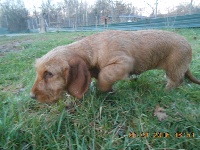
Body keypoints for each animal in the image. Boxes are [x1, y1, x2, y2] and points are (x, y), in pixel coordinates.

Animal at [30, 30, 200, 103]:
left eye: (49, 74)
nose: (31, 96)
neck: (93, 48)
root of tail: (188, 44)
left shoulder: (123, 62)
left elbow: (105, 75)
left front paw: (102, 89)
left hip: (173, 69)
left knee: (176, 81)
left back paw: (165, 91)